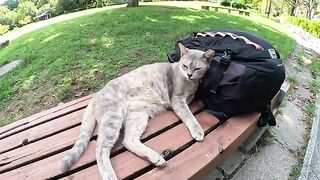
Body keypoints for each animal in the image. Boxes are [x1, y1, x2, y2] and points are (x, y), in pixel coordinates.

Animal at [60, 44, 215, 180]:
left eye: (197, 68)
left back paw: (156, 158)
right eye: (185, 66)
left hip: (137, 117)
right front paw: (198, 131)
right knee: (100, 150)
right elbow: (190, 117)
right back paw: (109, 175)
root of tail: (95, 96)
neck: (190, 84)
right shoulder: (177, 100)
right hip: (113, 118)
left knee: (128, 141)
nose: (189, 74)